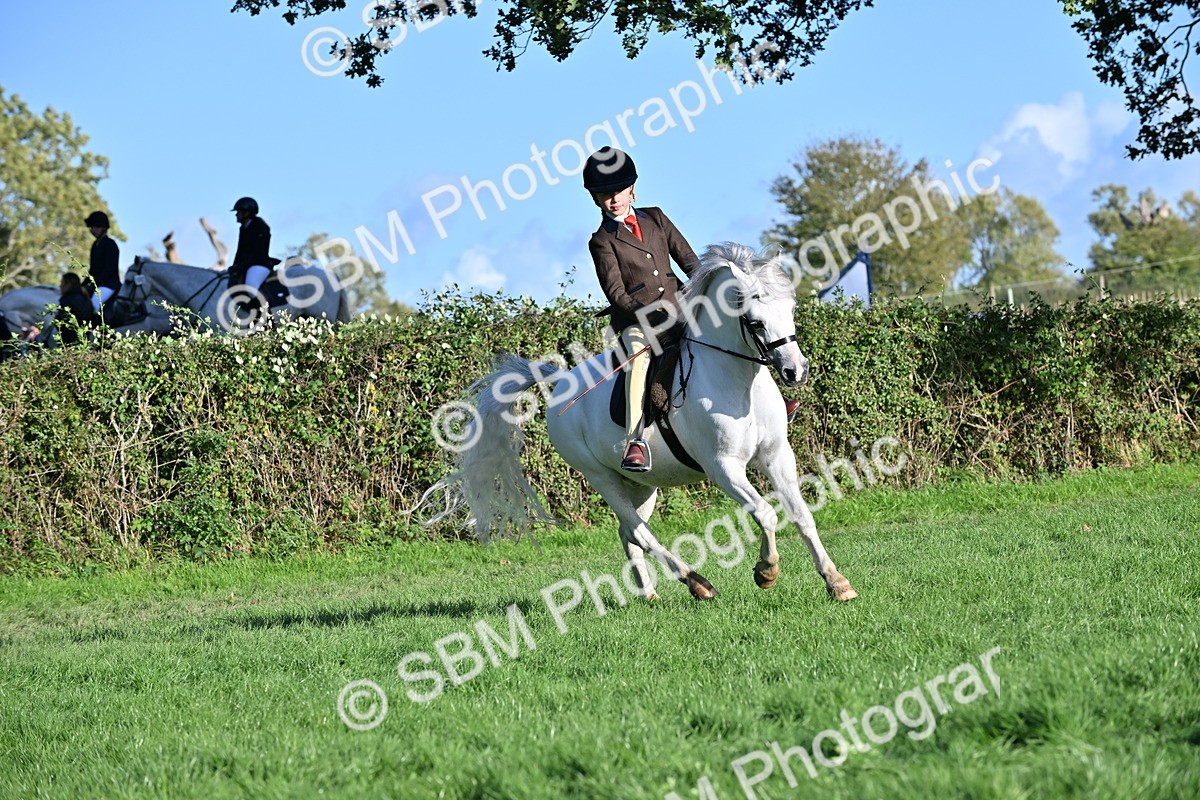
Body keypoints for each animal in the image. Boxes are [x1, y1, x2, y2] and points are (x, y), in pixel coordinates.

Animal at [437, 243, 858, 602]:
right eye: (754, 322)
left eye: (791, 310)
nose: (796, 371)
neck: (737, 381)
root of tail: (561, 382)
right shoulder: (723, 468)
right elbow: (765, 513)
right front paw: (765, 572)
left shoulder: (776, 456)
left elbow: (801, 515)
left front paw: (836, 582)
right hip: (601, 477)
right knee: (640, 532)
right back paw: (697, 583)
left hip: (641, 483)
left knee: (629, 532)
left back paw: (648, 593)